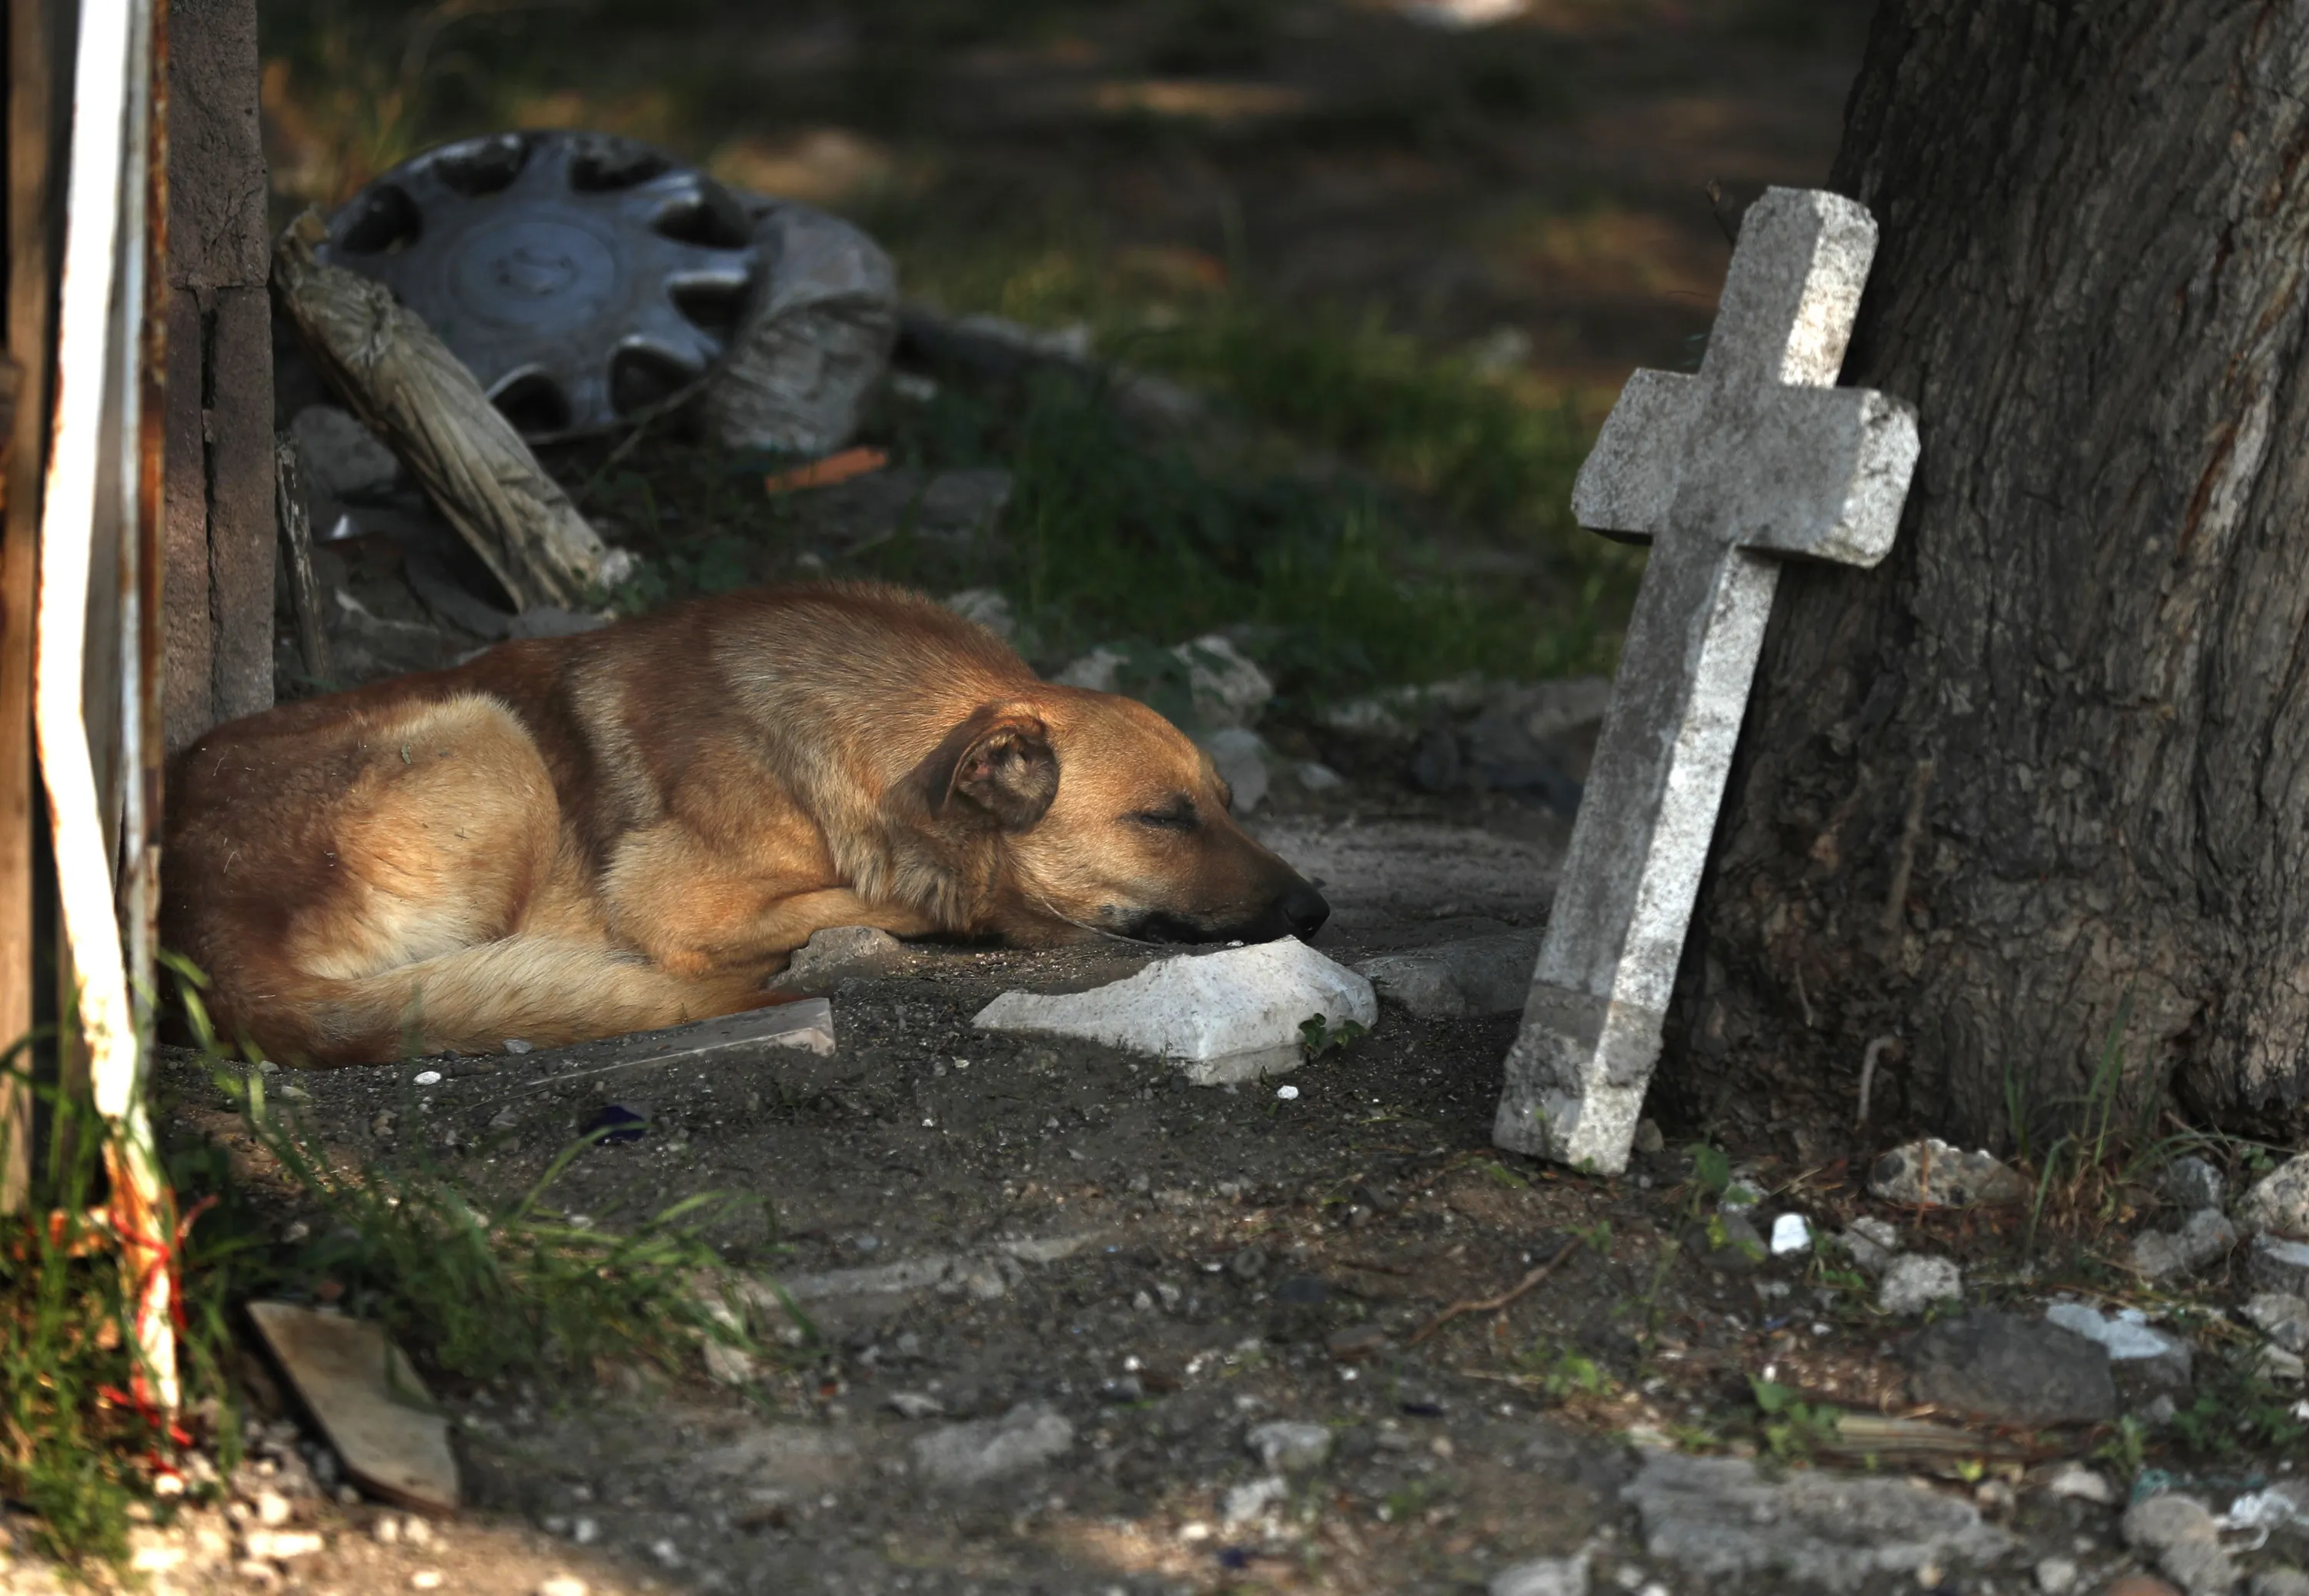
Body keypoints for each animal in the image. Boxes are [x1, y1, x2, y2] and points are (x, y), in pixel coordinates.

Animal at [161, 581, 1329, 1065]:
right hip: (486, 732)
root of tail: (201, 936)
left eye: (1228, 805)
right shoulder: (671, 896)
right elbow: (893, 895)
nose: (1319, 907)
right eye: (1163, 818)